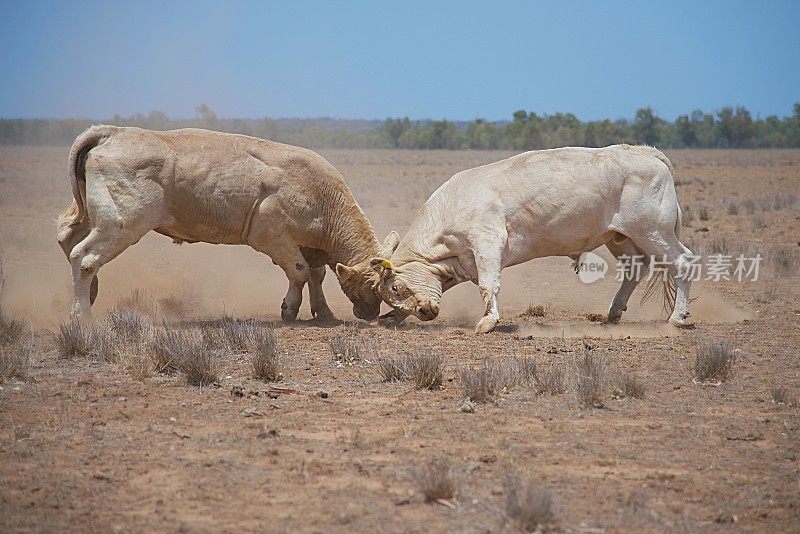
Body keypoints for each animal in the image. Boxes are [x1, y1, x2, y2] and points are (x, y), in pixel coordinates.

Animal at [370, 144, 692, 332]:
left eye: (396, 287)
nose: (424, 312)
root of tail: (646, 152)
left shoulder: (487, 241)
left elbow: (488, 285)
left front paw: (488, 322)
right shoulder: (460, 264)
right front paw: (392, 318)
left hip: (653, 231)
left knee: (683, 263)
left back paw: (676, 318)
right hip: (620, 237)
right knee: (635, 268)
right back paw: (614, 312)